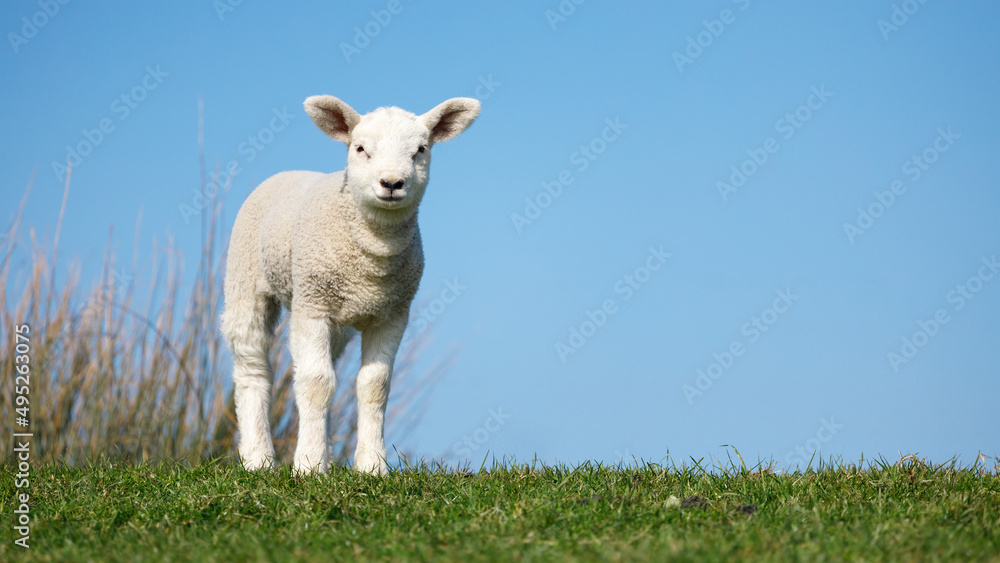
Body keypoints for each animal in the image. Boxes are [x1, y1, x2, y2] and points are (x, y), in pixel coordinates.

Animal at [220, 95, 480, 475]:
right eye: (360, 148)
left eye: (421, 150)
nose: (392, 183)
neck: (370, 263)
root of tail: (289, 173)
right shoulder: (312, 305)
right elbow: (316, 383)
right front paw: (309, 467)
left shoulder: (393, 313)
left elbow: (374, 386)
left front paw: (372, 465)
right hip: (246, 280)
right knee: (252, 368)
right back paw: (258, 459)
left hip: (336, 320)